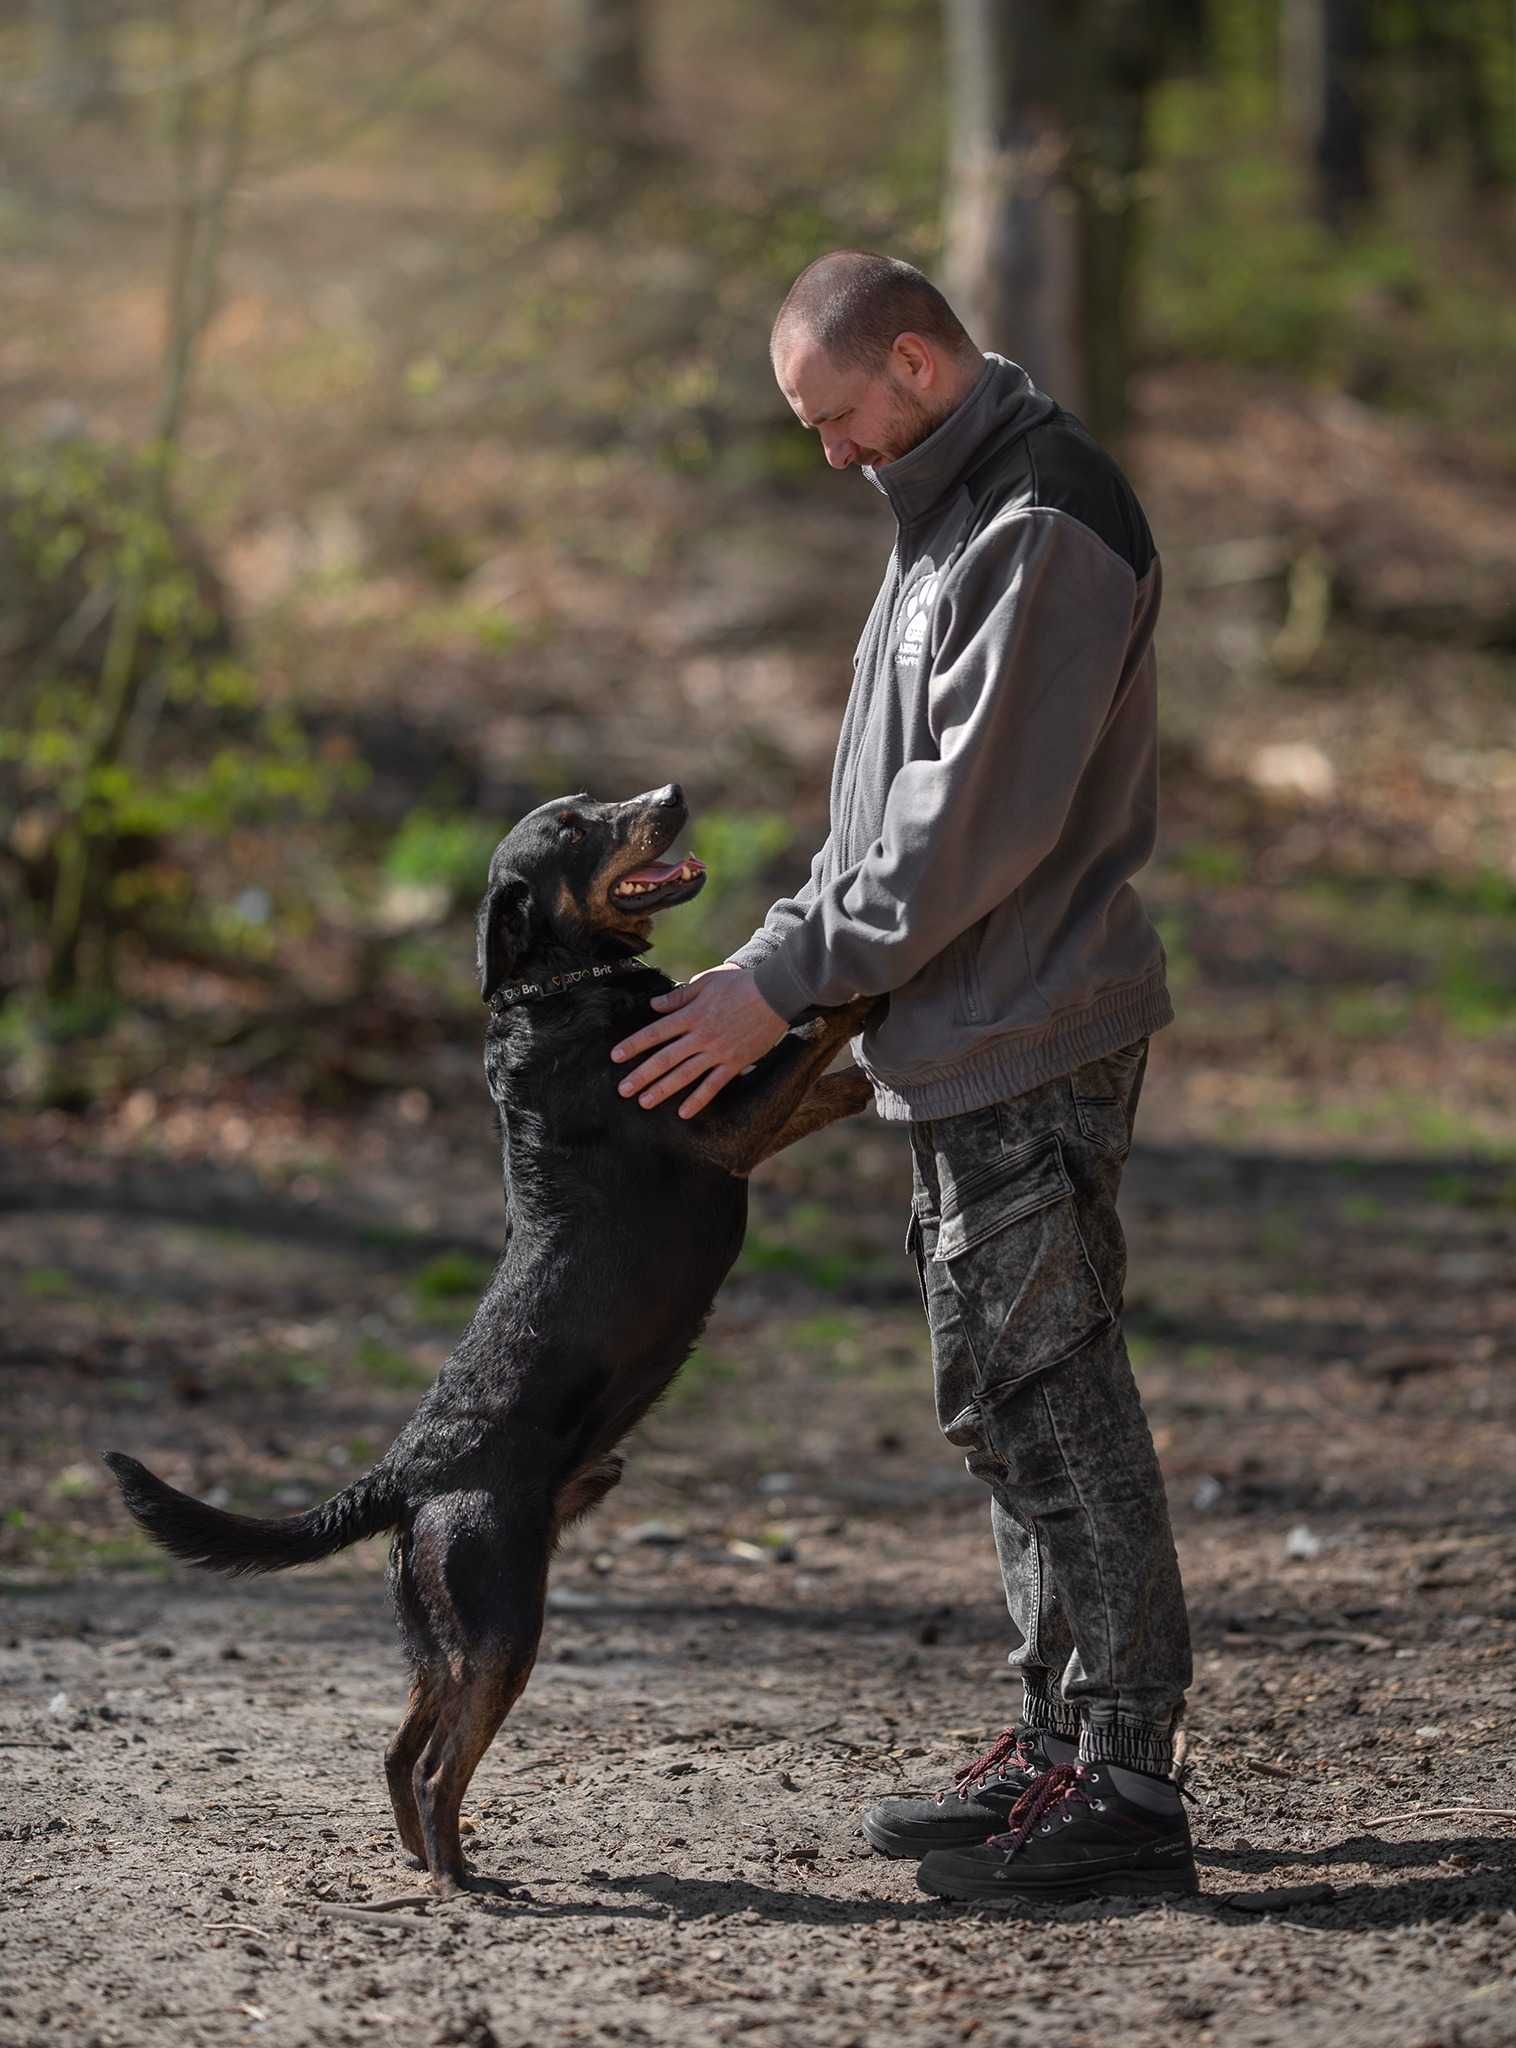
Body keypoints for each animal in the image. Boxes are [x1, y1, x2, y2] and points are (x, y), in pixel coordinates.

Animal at [103, 778, 876, 1884]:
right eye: (575, 826)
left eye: (598, 798)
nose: (672, 791)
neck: (561, 985)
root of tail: (405, 1469)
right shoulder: (724, 1125)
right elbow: (806, 1039)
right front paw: (858, 997)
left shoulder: (744, 1118)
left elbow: (828, 1080)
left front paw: (872, 1069)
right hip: (504, 1621)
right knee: (434, 1767)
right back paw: (468, 1879)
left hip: (443, 1636)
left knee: (398, 1751)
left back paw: (431, 1863)